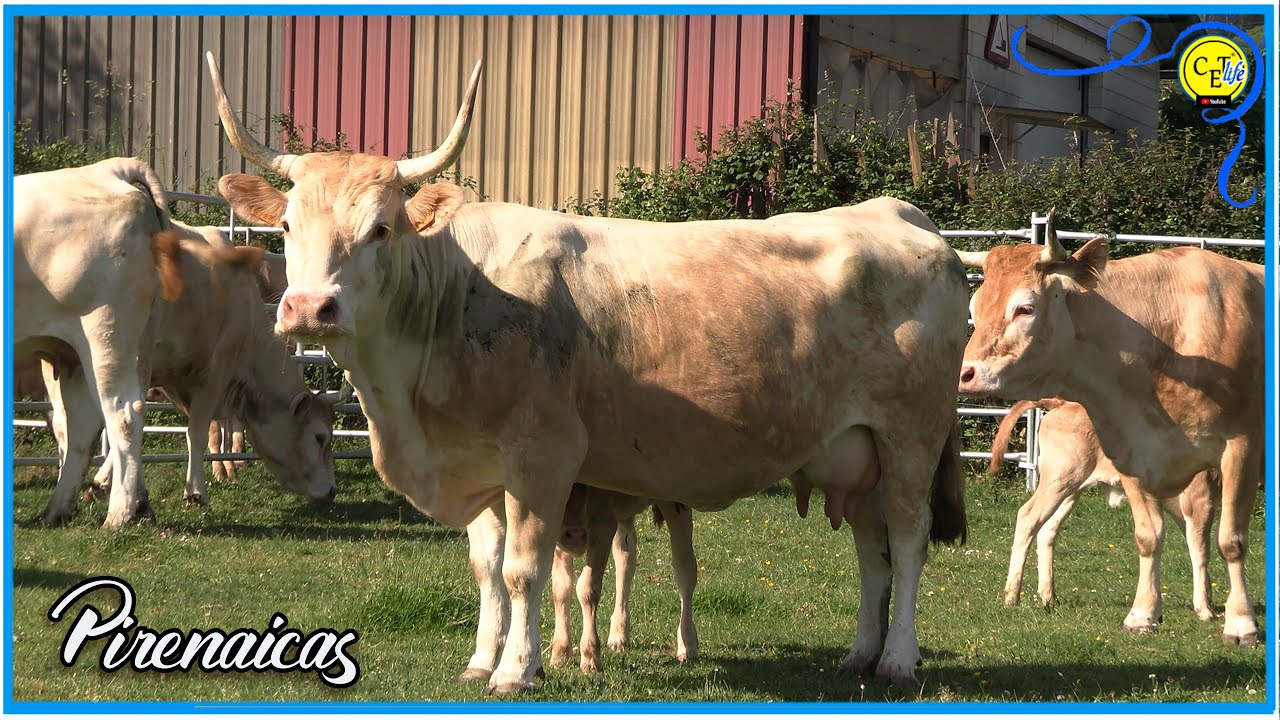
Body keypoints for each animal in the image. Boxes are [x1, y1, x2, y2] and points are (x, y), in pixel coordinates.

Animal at [14, 158, 184, 527]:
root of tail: (109, 167)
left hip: (105, 331)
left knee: (123, 413)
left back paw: (118, 514)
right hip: (83, 350)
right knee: (83, 424)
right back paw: (59, 509)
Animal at [550, 485, 698, 673]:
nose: (574, 534)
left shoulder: (603, 524)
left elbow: (587, 589)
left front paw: (590, 656)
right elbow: (561, 590)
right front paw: (560, 652)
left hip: (676, 503)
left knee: (685, 567)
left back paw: (688, 645)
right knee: (626, 559)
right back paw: (618, 633)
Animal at [989, 399, 1218, 619]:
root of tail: (1063, 403)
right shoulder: (1199, 498)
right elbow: (1201, 550)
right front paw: (1205, 609)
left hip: (1071, 490)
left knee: (1047, 529)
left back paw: (1048, 596)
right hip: (1059, 479)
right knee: (1028, 517)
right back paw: (1012, 596)